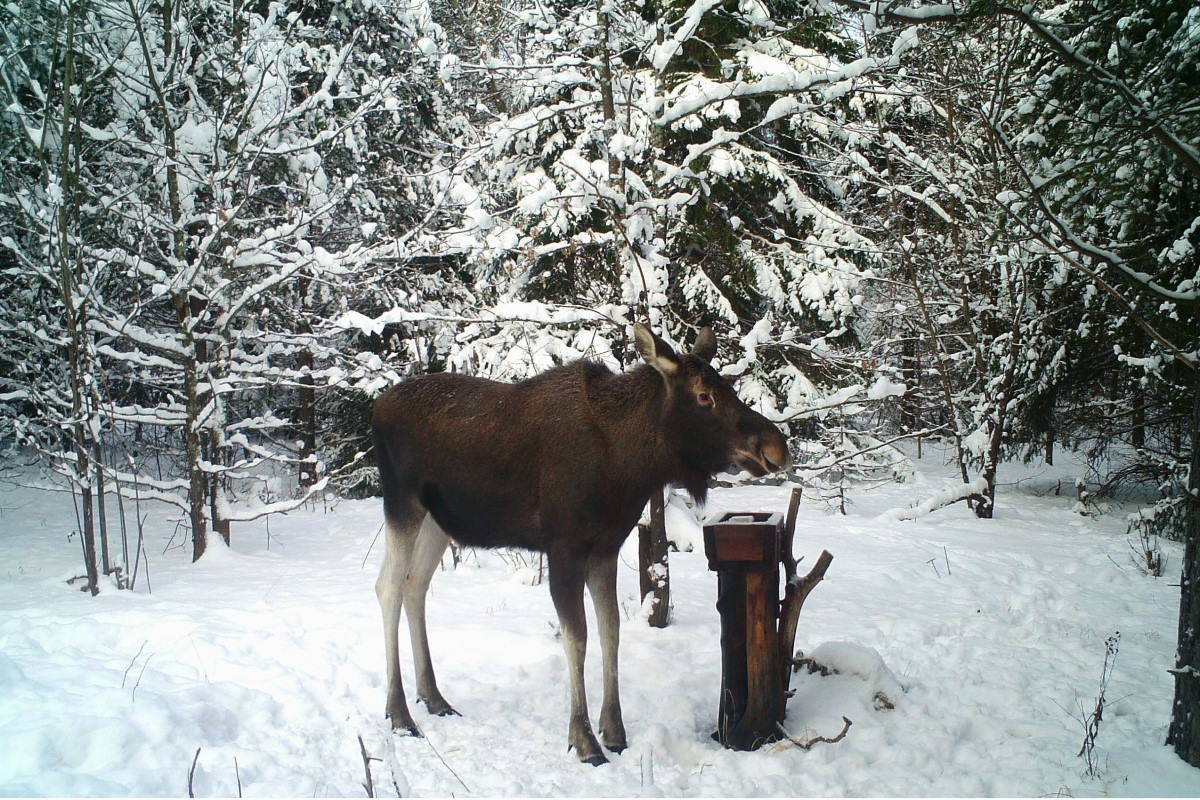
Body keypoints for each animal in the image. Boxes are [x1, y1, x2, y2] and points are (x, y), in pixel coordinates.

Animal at [369, 323, 792, 762]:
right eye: (704, 395)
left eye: (729, 387)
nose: (776, 445)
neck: (627, 465)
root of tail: (377, 407)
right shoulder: (564, 548)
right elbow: (578, 637)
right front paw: (584, 738)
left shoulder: (605, 548)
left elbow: (611, 630)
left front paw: (614, 729)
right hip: (401, 502)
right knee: (387, 587)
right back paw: (399, 712)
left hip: (437, 520)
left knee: (415, 586)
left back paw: (433, 697)